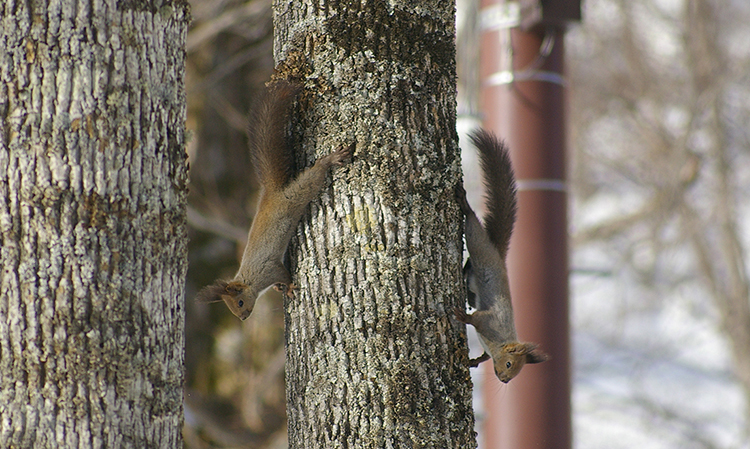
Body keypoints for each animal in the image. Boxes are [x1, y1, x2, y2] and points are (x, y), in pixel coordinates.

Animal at [197, 79, 356, 318]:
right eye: (234, 309)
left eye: (240, 303)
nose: (243, 317)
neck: (250, 280)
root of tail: (271, 193)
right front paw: (280, 289)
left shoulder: (268, 269)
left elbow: (283, 274)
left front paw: (288, 287)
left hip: (297, 194)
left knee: (313, 177)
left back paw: (329, 160)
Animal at [456, 129, 548, 382]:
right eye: (509, 364)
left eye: (516, 373)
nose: (504, 380)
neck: (499, 343)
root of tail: (498, 255)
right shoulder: (490, 321)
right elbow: (476, 318)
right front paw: (462, 318)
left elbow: (482, 358)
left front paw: (473, 362)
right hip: (478, 244)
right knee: (473, 226)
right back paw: (465, 205)